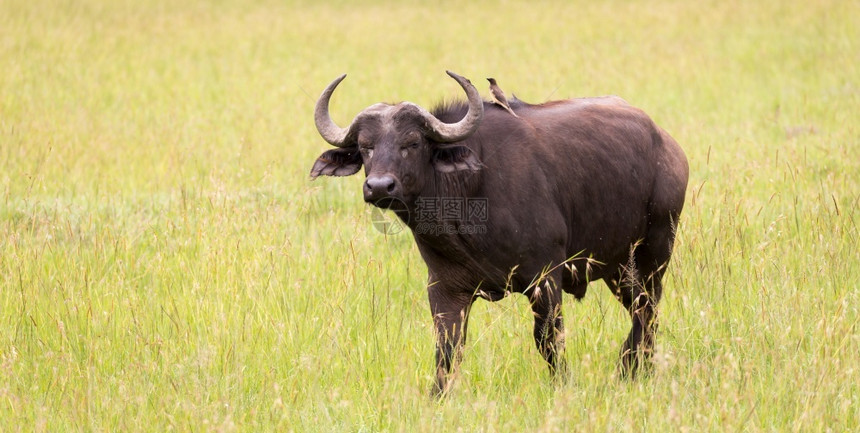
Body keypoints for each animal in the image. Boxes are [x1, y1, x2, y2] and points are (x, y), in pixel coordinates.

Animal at [310, 70, 684, 394]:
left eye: (412, 142)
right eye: (365, 146)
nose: (379, 186)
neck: (468, 199)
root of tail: (668, 146)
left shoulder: (546, 278)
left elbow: (549, 338)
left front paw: (562, 385)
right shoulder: (445, 288)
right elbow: (447, 348)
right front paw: (437, 396)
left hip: (654, 254)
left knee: (648, 311)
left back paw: (632, 369)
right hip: (617, 268)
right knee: (642, 311)